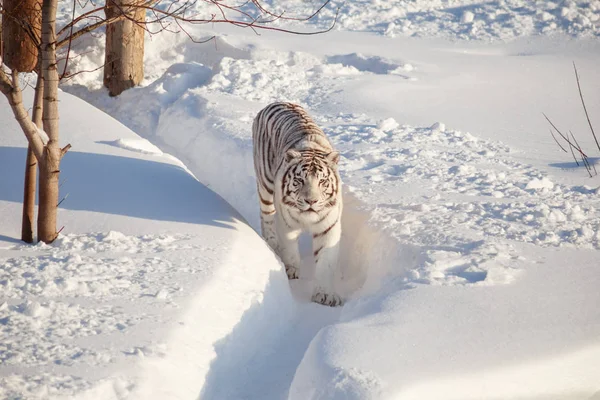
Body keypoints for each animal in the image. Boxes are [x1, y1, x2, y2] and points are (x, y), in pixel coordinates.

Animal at [252, 101, 342, 304]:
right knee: (266, 216)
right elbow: (290, 248)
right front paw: (291, 270)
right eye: (299, 180)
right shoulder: (287, 224)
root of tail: (277, 101)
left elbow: (325, 262)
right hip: (265, 184)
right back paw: (271, 243)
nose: (311, 201)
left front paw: (325, 294)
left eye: (322, 182)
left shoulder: (329, 228)